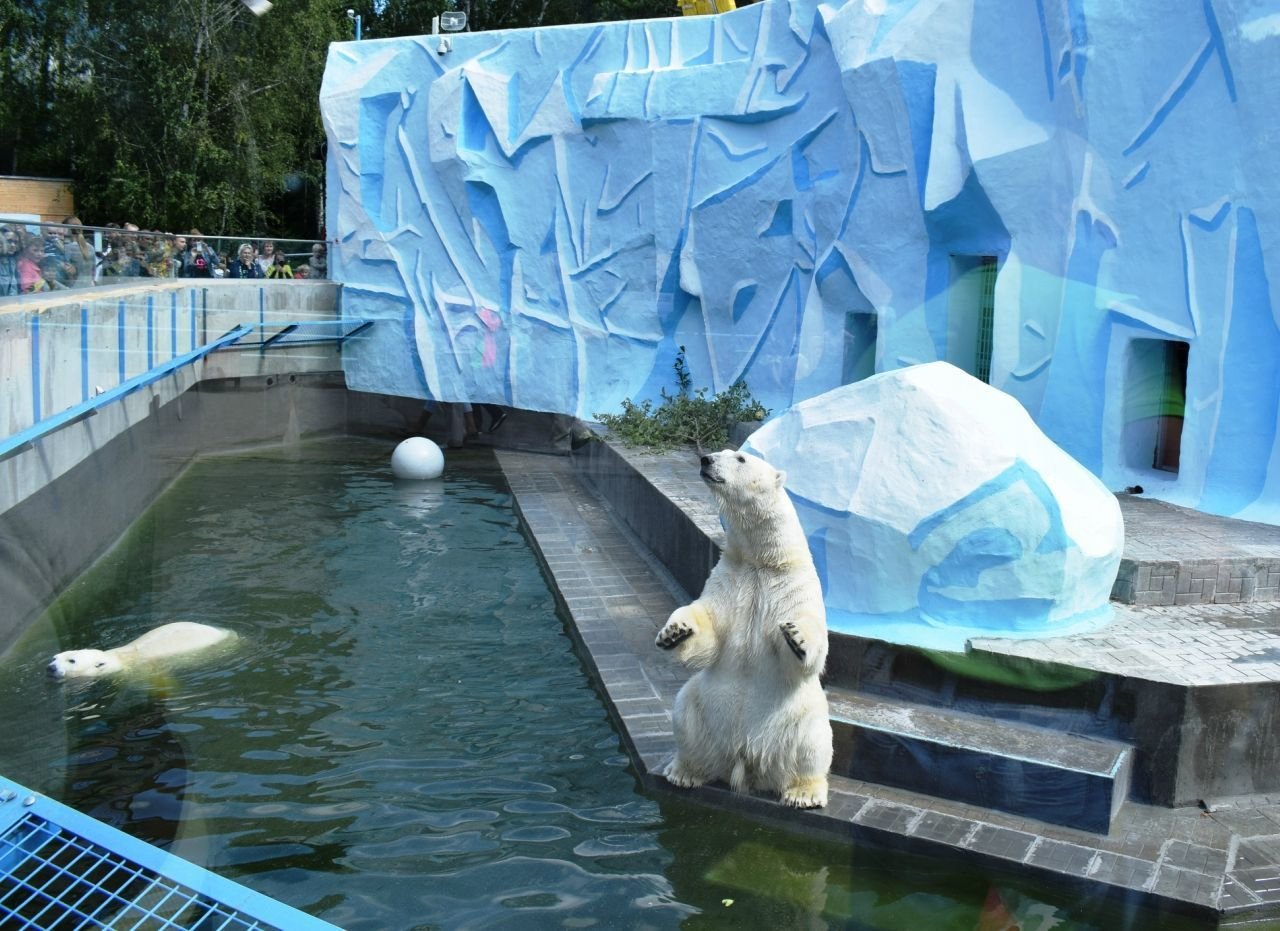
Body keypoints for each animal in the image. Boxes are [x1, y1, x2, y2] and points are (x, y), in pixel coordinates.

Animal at [655, 450, 834, 809]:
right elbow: (709, 626)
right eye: (721, 453)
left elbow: (810, 639)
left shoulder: (795, 583)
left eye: (739, 457)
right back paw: (684, 772)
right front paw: (674, 632)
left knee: (813, 742)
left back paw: (804, 792)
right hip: (704, 706)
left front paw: (796, 636)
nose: (706, 459)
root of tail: (745, 761)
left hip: (798, 716)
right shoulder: (730, 576)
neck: (762, 561)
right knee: (685, 714)